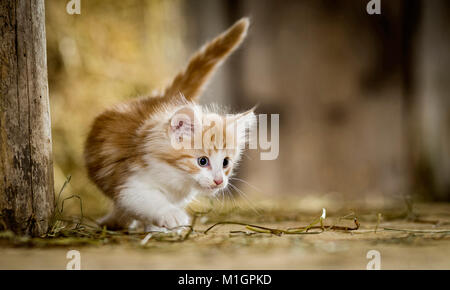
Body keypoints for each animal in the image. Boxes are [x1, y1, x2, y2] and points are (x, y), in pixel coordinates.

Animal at [83, 17, 253, 231]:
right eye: (202, 161)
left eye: (225, 162)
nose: (218, 181)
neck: (176, 177)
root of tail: (160, 100)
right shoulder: (130, 181)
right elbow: (146, 200)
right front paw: (171, 216)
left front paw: (157, 228)